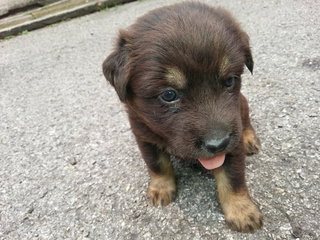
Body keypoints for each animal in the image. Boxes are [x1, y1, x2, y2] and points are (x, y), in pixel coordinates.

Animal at [102, 1, 262, 232]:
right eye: (169, 95)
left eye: (230, 81)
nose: (218, 144)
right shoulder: (144, 136)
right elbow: (157, 165)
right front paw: (161, 189)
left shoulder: (233, 141)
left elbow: (233, 177)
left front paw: (242, 211)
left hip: (242, 104)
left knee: (246, 122)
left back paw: (250, 139)